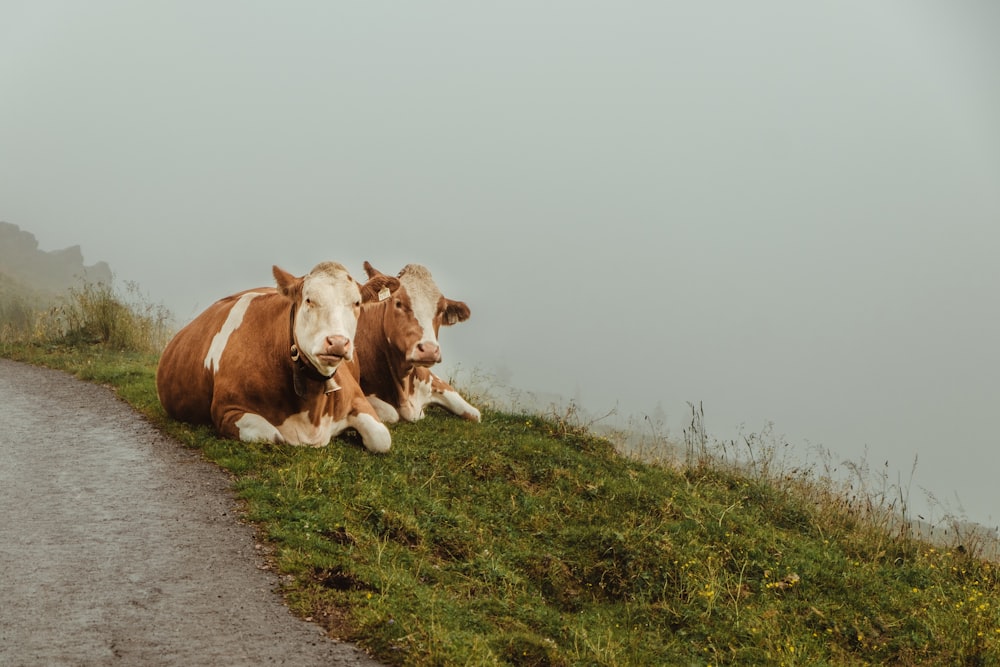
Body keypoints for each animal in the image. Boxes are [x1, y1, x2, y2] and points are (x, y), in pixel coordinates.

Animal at [156, 264, 398, 452]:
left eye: (356, 303)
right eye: (309, 300)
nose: (337, 342)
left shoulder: (356, 398)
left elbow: (382, 439)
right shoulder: (226, 410)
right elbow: (276, 437)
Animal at [356, 260, 480, 422]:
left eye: (442, 309)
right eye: (398, 303)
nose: (429, 350)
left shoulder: (430, 377)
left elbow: (475, 414)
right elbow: (390, 413)